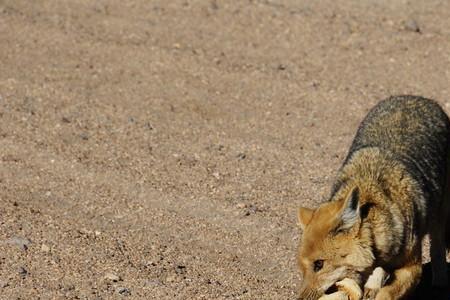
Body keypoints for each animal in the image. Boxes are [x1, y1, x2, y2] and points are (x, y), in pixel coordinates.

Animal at [298, 95, 450, 298]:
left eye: (319, 264)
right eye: (301, 267)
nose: (300, 298)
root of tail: (417, 98)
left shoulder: (412, 268)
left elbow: (386, 294)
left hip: (440, 216)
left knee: (437, 247)